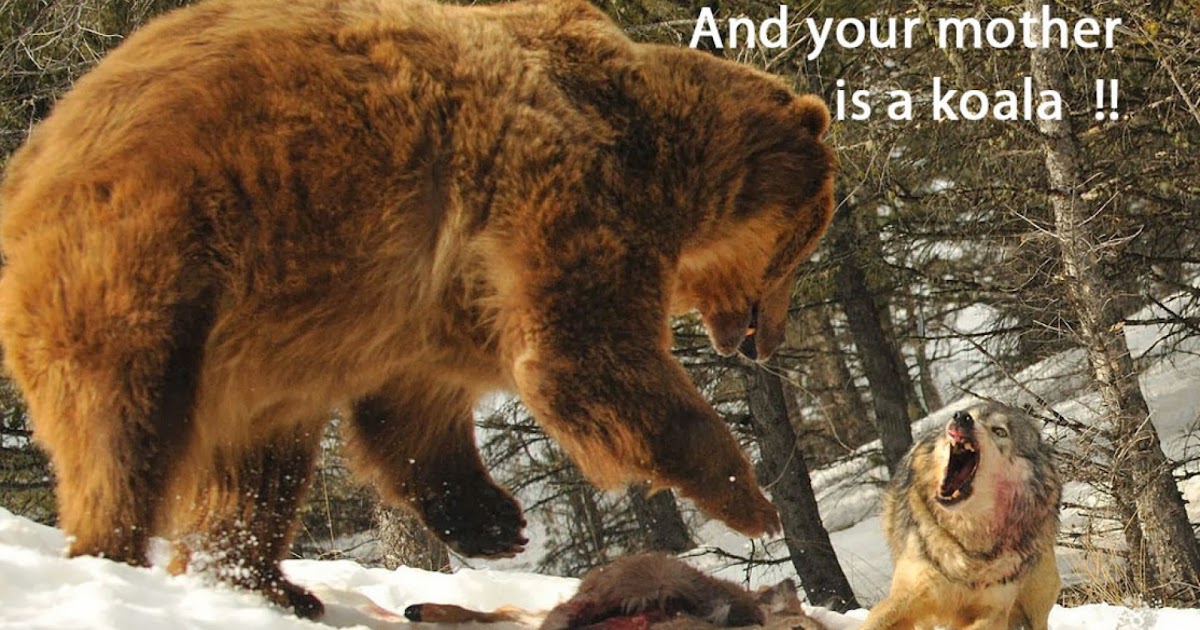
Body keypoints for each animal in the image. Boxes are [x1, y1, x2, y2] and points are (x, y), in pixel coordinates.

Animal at [861, 403, 1062, 630]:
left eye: (999, 431)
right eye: (968, 414)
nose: (962, 417)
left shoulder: (995, 612)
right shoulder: (909, 596)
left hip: (1036, 608)